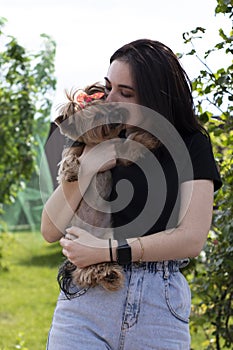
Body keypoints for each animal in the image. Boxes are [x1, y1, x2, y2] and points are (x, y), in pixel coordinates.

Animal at [55, 83, 159, 296]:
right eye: (96, 117)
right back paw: (107, 275)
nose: (116, 113)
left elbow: (130, 142)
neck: (101, 141)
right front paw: (71, 171)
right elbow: (68, 159)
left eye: (109, 105)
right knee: (85, 272)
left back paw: (109, 274)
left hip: (103, 244)